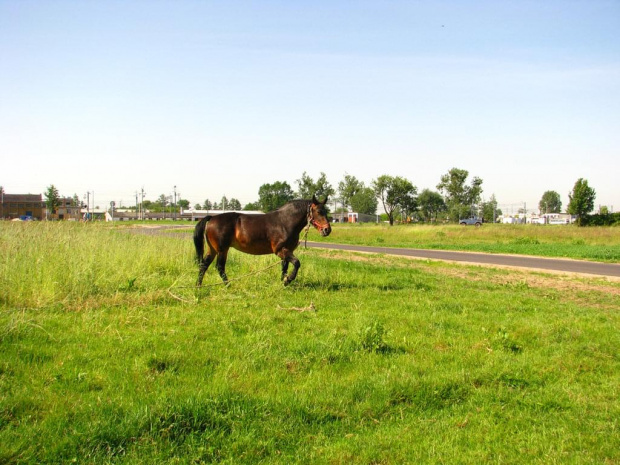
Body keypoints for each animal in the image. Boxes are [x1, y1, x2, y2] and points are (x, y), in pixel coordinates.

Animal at [194, 194, 332, 284]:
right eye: (319, 212)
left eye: (325, 211)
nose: (327, 230)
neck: (285, 222)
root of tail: (212, 218)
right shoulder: (280, 250)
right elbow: (296, 263)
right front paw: (288, 280)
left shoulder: (287, 250)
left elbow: (285, 266)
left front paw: (283, 282)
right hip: (222, 250)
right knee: (219, 267)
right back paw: (228, 285)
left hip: (213, 249)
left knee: (204, 265)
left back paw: (198, 286)